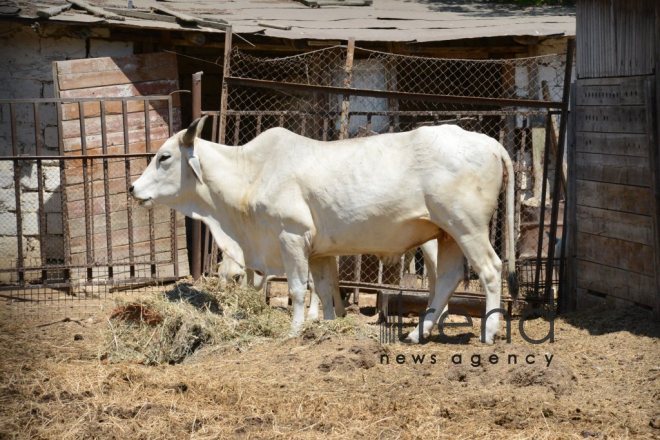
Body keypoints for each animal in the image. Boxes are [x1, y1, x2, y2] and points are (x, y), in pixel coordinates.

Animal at [131, 118, 520, 346]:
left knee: (490, 270)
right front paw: (327, 325)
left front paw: (294, 330)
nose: (134, 189)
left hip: (467, 227)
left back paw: (488, 333)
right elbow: (323, 289)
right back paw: (416, 333)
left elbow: (298, 289)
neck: (252, 172)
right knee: (449, 277)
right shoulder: (318, 252)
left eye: (164, 157)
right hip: (446, 234)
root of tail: (489, 142)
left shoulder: (291, 236)